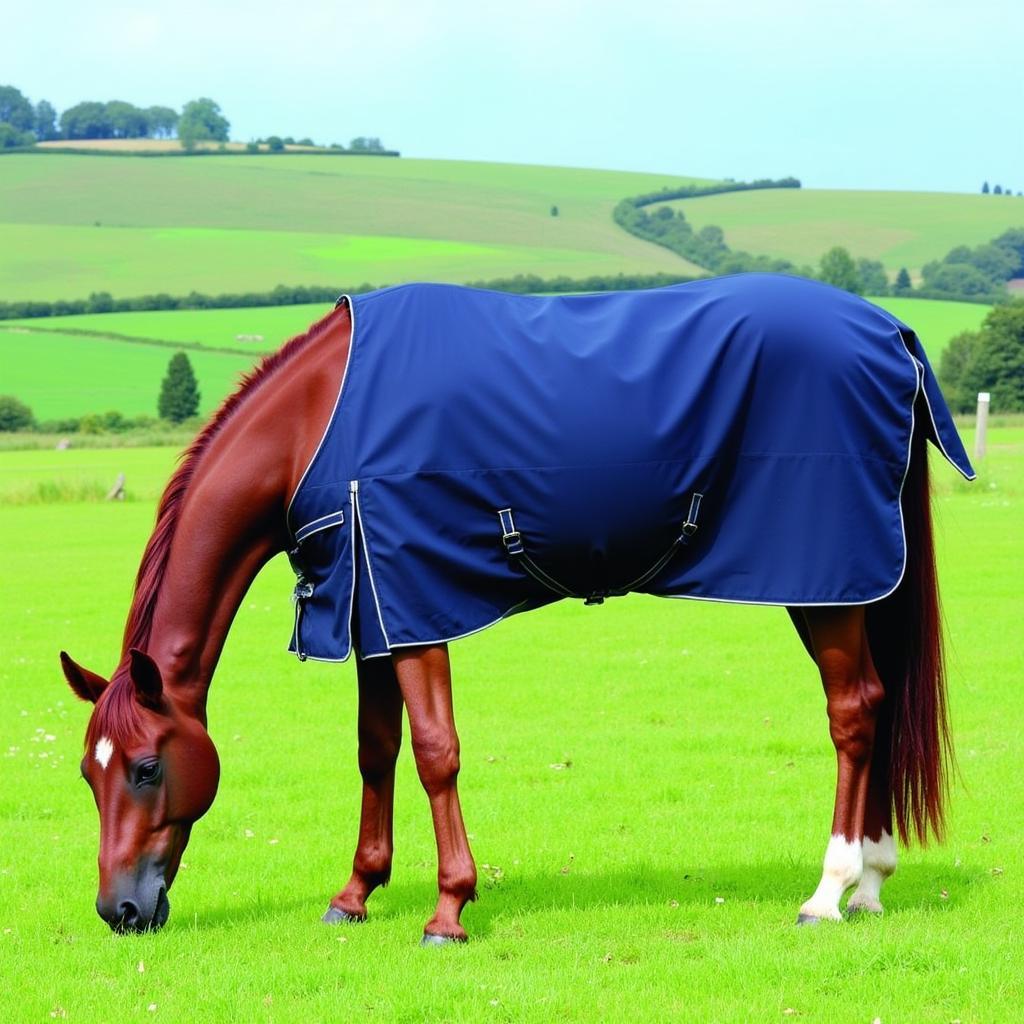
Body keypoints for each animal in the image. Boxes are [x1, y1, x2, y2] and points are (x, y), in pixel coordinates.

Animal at [64, 274, 974, 942]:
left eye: (145, 768)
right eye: (87, 773)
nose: (120, 911)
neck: (318, 422)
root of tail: (891, 332)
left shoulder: (413, 600)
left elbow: (435, 754)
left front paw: (447, 910)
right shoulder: (372, 609)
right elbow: (375, 751)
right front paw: (355, 893)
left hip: (826, 584)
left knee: (854, 712)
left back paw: (829, 891)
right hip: (847, 588)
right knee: (879, 703)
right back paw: (872, 882)